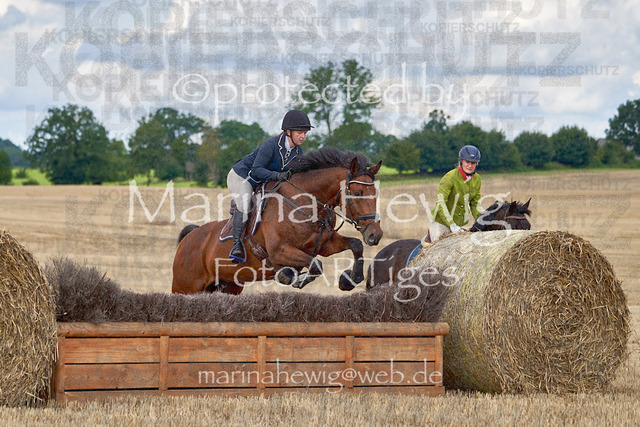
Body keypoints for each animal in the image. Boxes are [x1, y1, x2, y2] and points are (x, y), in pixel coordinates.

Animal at [172, 148, 384, 295]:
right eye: (358, 193)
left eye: (376, 193)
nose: (375, 234)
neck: (304, 203)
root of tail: (188, 238)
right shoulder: (279, 251)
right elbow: (315, 265)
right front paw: (290, 277)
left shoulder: (324, 244)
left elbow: (356, 245)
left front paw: (349, 280)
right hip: (185, 287)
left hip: (228, 286)